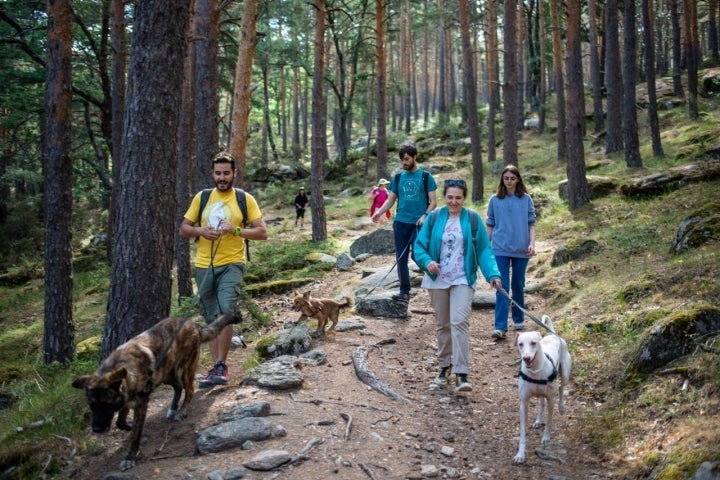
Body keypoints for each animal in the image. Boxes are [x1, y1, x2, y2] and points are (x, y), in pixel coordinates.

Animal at [73, 314, 242, 470]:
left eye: (106, 404)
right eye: (92, 405)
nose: (96, 429)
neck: (122, 366)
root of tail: (194, 324)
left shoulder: (140, 403)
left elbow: (135, 435)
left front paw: (130, 456)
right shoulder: (127, 397)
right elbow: (120, 421)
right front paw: (129, 426)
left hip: (182, 370)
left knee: (189, 390)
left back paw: (182, 411)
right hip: (166, 374)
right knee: (178, 388)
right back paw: (172, 409)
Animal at [516, 316, 572, 464]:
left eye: (533, 343)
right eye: (520, 344)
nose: (526, 358)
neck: (535, 371)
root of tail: (553, 334)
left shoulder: (551, 399)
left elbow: (550, 421)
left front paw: (546, 437)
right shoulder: (523, 404)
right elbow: (522, 434)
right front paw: (520, 454)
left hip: (565, 374)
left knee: (561, 387)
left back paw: (562, 407)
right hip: (540, 393)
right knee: (541, 403)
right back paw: (538, 420)